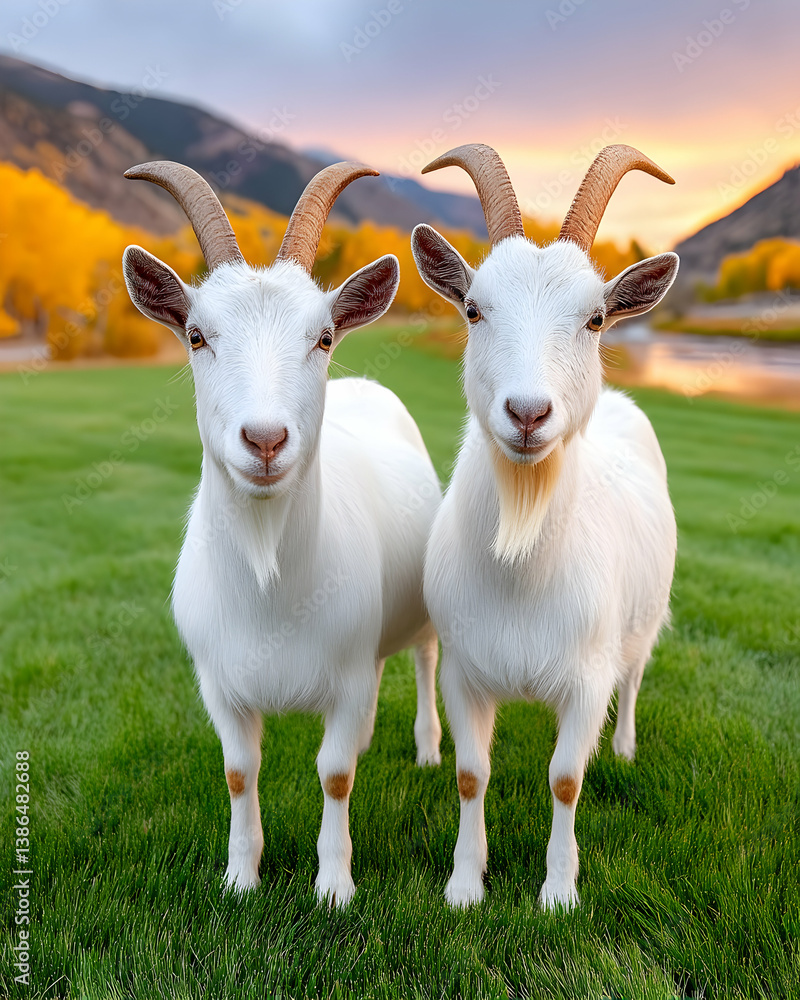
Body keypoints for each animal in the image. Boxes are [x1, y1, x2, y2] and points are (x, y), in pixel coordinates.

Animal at [122, 160, 442, 905]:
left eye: (322, 337)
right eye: (197, 335)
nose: (265, 440)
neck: (271, 586)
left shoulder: (345, 678)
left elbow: (334, 773)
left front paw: (334, 885)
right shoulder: (219, 683)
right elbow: (240, 770)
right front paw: (240, 877)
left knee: (424, 656)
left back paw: (428, 746)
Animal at [411, 143, 679, 910]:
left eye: (595, 319)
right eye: (474, 308)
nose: (528, 413)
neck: (521, 571)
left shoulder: (587, 680)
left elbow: (565, 778)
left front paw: (559, 892)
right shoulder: (465, 671)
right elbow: (471, 773)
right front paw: (464, 883)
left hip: (643, 622)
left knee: (636, 676)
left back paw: (625, 748)